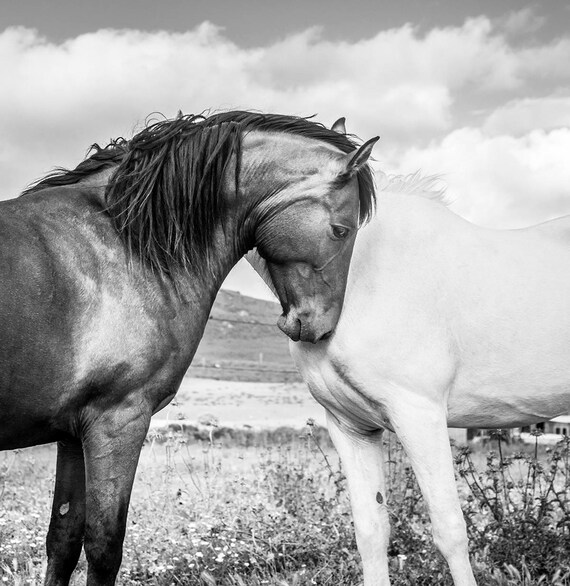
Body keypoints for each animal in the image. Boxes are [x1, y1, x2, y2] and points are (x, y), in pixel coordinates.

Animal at [0, 110, 378, 584]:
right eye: (340, 230)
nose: (321, 326)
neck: (127, 244)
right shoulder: (117, 421)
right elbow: (104, 546)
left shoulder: (72, 434)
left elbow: (62, 539)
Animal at [251, 117, 568, 580]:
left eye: (342, 231)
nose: (309, 327)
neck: (365, 277)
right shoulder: (351, 427)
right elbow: (371, 532)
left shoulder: (420, 415)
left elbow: (450, 530)